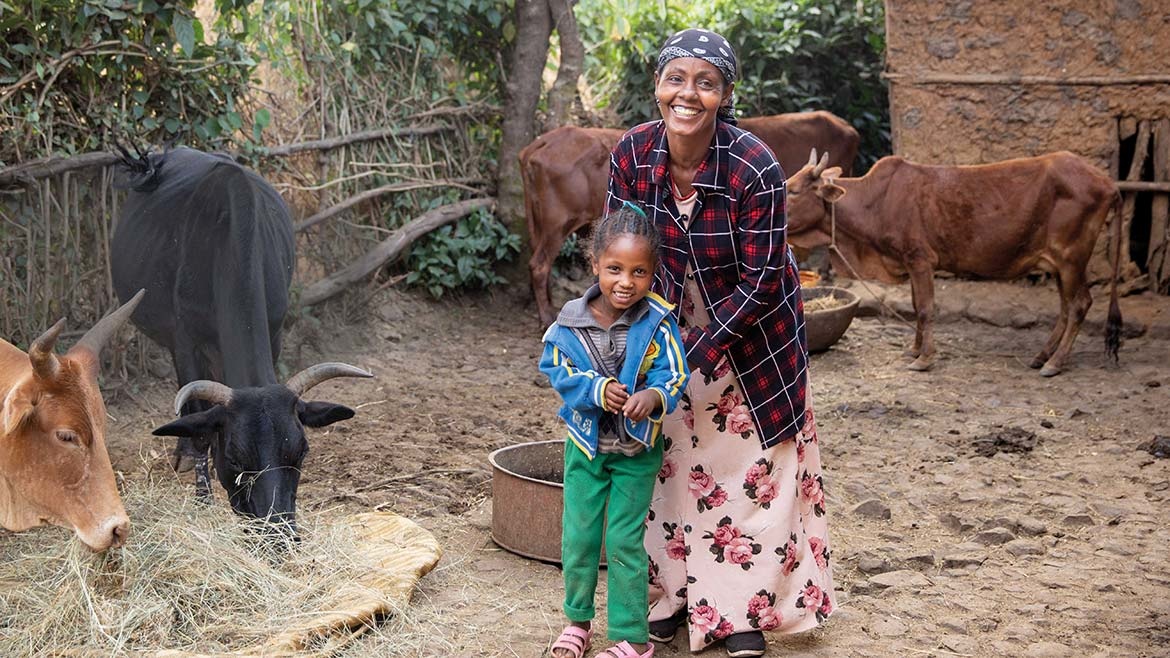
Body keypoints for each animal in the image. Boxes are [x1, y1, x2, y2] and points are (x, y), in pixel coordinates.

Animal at [112, 144, 372, 533]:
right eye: (234, 456)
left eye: (301, 451)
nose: (277, 532)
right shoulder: (186, 344)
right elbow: (200, 427)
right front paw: (202, 499)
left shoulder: (274, 329)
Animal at [786, 149, 1123, 374]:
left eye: (793, 190)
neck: (876, 202)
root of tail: (1109, 184)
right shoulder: (911, 262)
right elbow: (916, 306)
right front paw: (914, 350)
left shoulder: (920, 259)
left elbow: (924, 308)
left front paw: (924, 359)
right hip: (1059, 264)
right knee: (1066, 308)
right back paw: (1043, 356)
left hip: (1071, 258)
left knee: (1079, 304)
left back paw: (1054, 362)